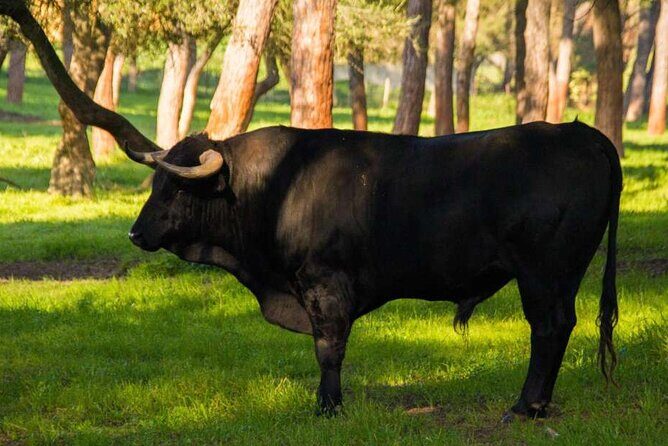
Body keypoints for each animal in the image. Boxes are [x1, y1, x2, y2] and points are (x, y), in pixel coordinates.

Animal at [2, 0, 621, 420]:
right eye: (155, 182)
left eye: (175, 190)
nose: (135, 233)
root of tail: (584, 133)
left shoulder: (326, 283)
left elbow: (330, 349)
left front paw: (328, 407)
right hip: (561, 273)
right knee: (560, 327)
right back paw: (537, 404)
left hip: (544, 271)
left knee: (549, 327)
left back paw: (526, 406)